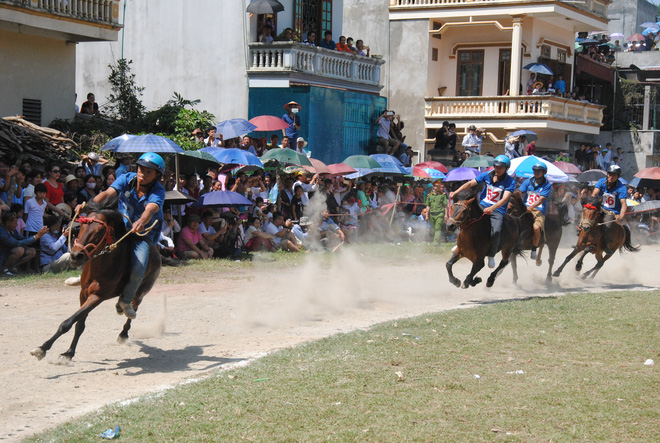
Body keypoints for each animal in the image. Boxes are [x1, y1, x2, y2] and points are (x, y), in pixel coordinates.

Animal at [31, 206, 163, 362]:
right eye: (81, 227)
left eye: (100, 231)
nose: (75, 256)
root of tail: (156, 251)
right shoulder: (83, 294)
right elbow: (79, 325)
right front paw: (69, 353)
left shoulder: (96, 297)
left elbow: (68, 322)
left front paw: (42, 349)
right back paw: (119, 307)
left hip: (142, 291)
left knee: (134, 308)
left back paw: (123, 331)